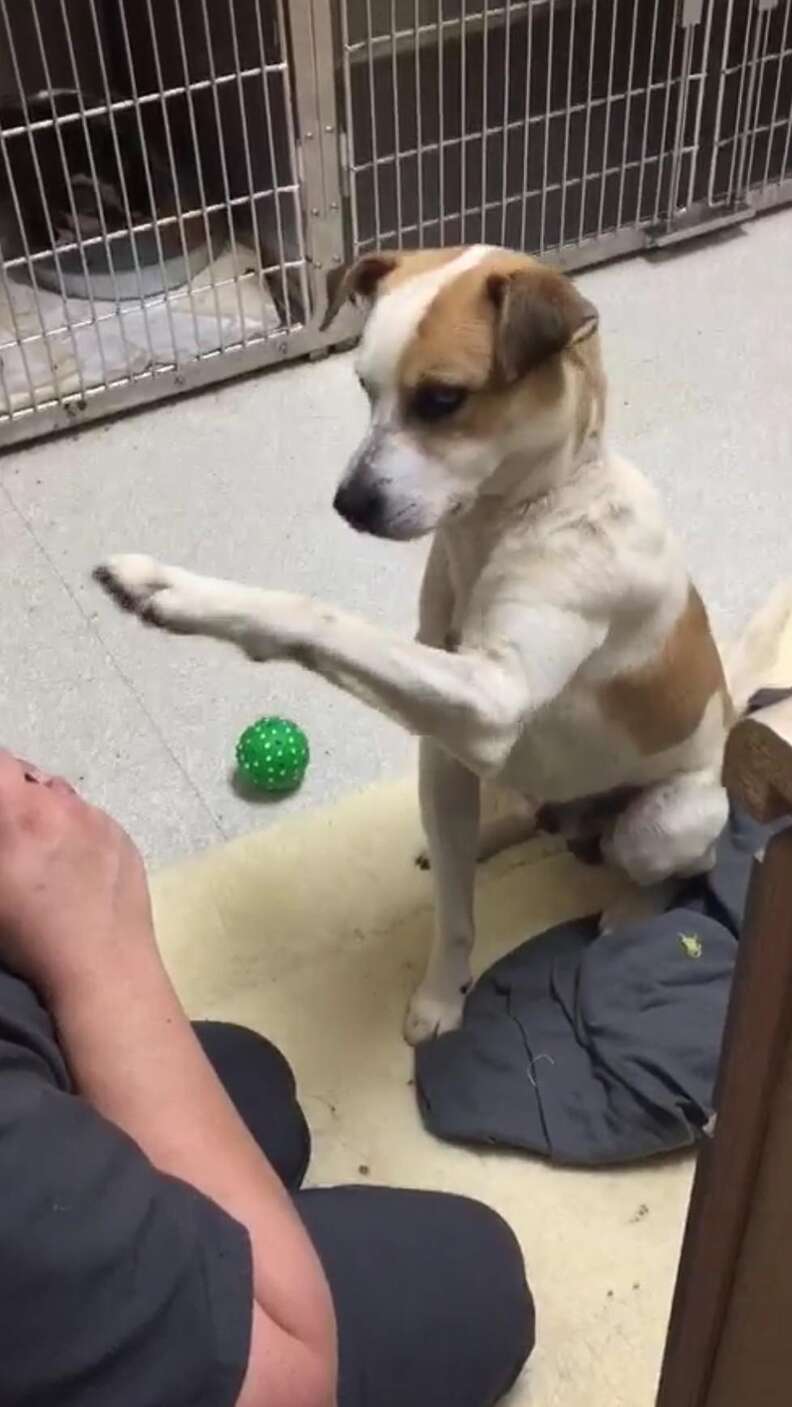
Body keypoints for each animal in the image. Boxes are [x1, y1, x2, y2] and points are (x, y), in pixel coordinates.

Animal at [94, 250, 792, 1046]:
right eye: (364, 388)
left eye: (442, 400)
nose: (348, 504)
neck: (516, 516)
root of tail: (731, 716)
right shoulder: (449, 749)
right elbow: (455, 913)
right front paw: (442, 993)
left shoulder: (491, 699)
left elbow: (321, 616)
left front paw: (179, 593)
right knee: (522, 815)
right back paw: (490, 832)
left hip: (664, 821)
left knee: (679, 864)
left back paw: (631, 908)